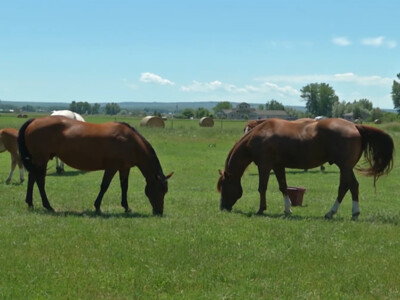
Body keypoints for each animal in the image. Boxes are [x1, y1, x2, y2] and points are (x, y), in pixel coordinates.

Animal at [18, 116, 173, 214]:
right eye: (161, 190)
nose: (159, 212)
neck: (130, 141)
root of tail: (34, 121)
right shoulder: (112, 167)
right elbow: (104, 186)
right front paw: (97, 206)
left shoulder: (124, 167)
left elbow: (124, 186)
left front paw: (126, 207)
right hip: (41, 159)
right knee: (39, 180)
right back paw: (48, 206)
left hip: (37, 160)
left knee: (32, 178)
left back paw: (30, 202)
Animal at [219, 118, 394, 220]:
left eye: (224, 186)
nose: (222, 208)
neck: (261, 133)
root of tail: (355, 125)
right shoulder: (278, 166)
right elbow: (283, 187)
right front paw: (287, 209)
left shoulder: (265, 166)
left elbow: (262, 188)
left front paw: (261, 209)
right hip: (345, 168)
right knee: (344, 187)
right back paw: (331, 213)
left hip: (344, 166)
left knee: (353, 186)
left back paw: (354, 213)